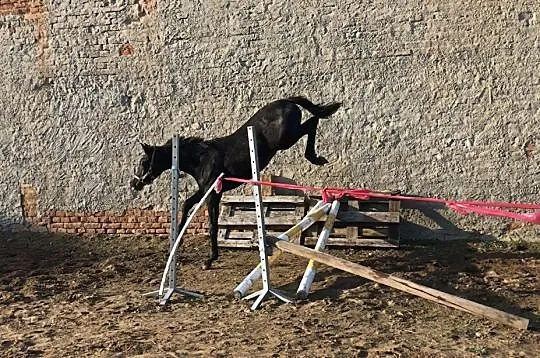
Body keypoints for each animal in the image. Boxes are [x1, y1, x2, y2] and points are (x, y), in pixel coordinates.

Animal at [131, 96, 340, 268]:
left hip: (285, 139)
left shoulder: (213, 194)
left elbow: (212, 224)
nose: (135, 184)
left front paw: (210, 259)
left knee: (312, 122)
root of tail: (286, 101)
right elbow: (186, 205)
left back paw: (315, 157)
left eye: (143, 162)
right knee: (313, 121)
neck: (202, 159)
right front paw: (176, 242)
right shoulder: (205, 190)